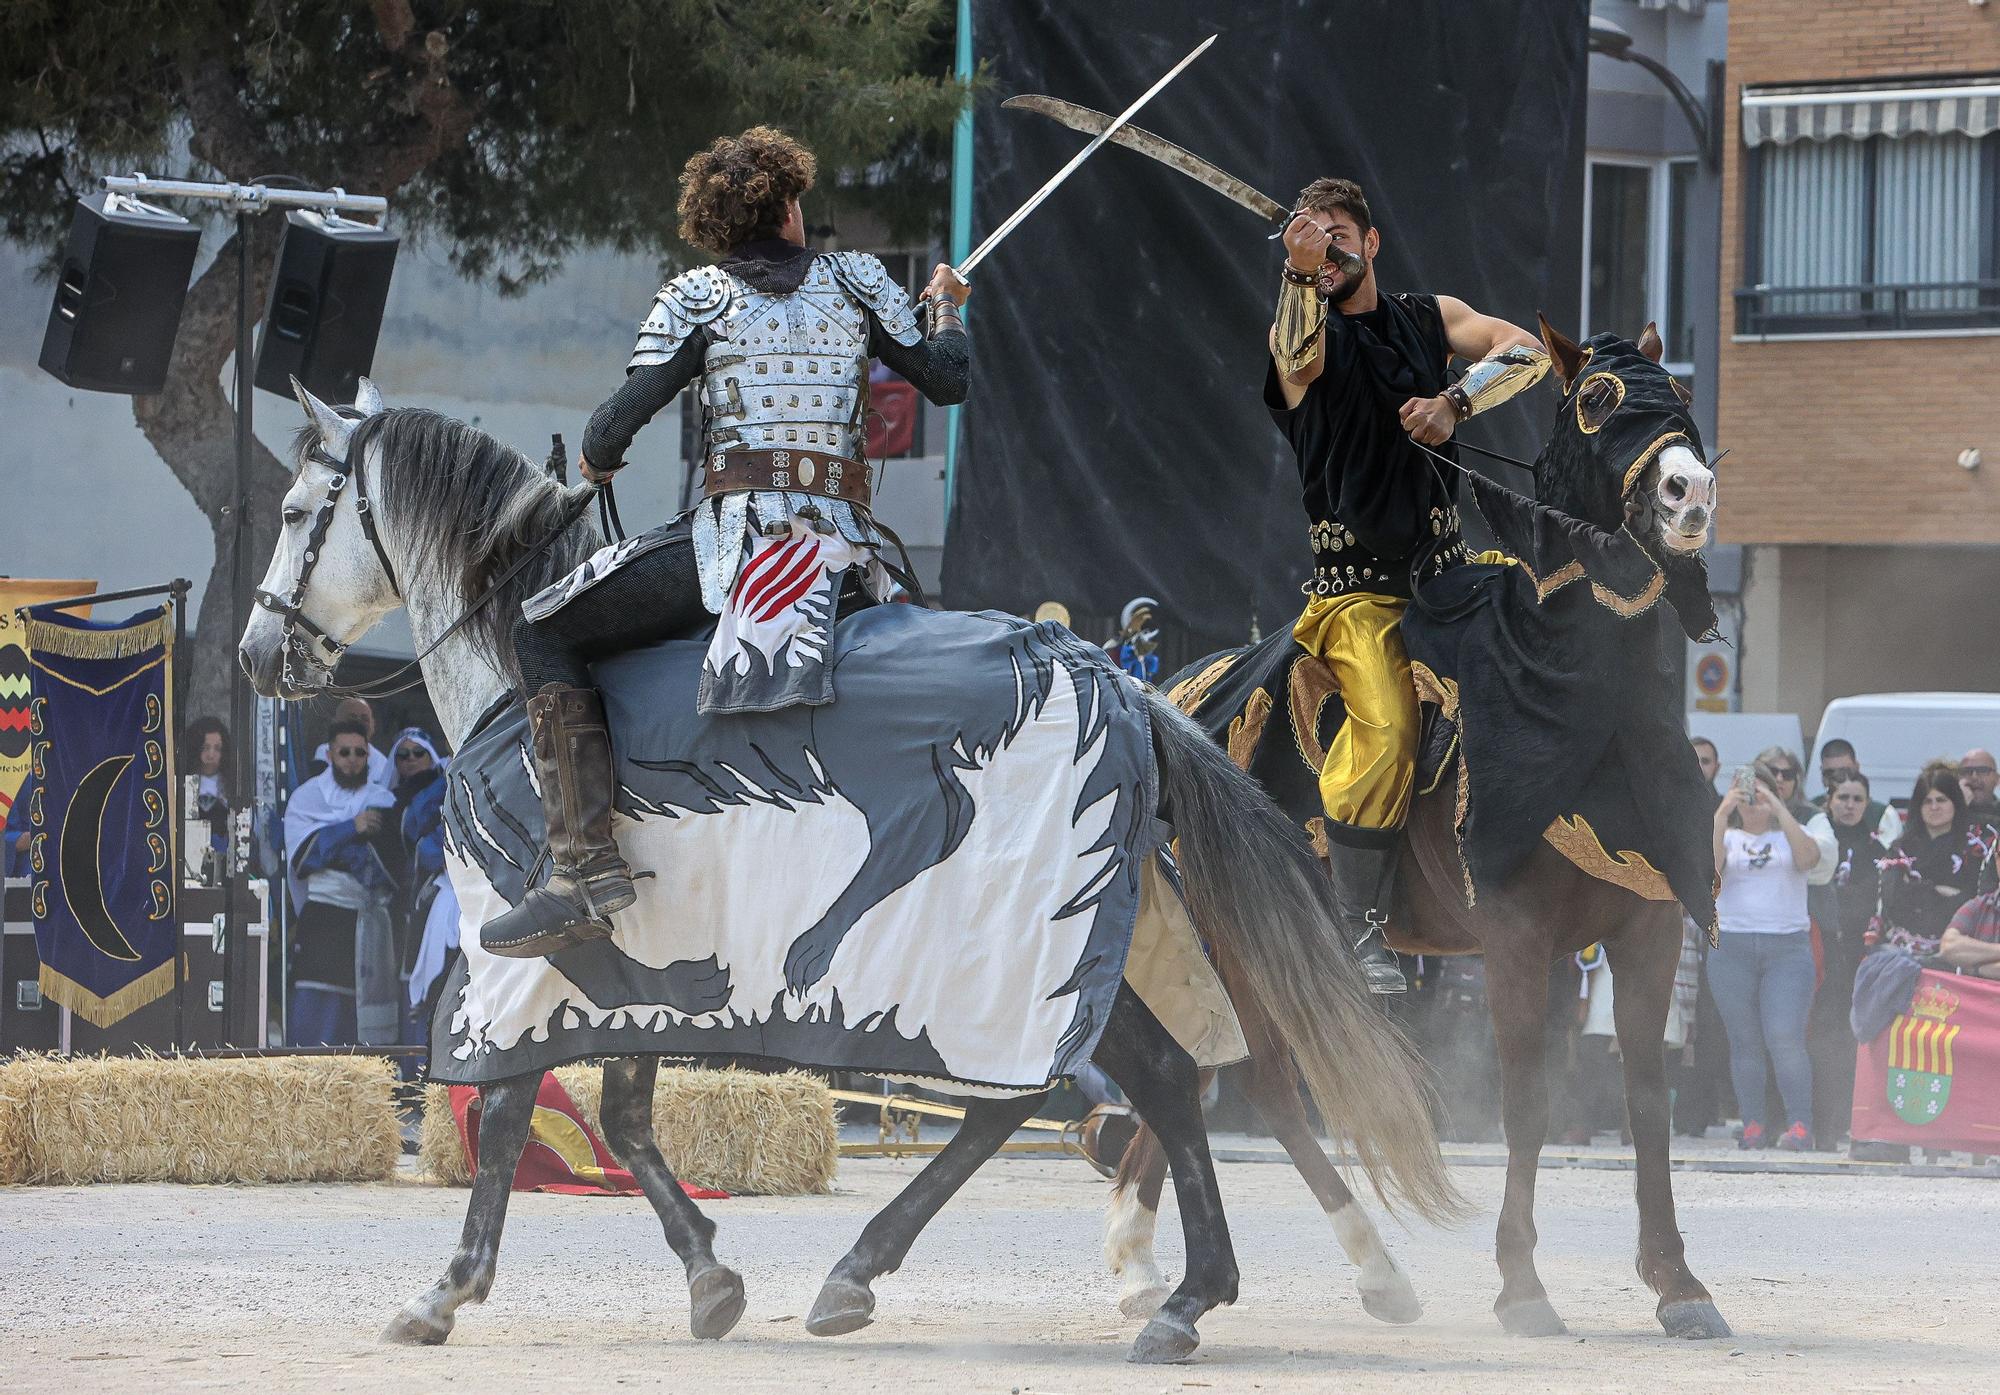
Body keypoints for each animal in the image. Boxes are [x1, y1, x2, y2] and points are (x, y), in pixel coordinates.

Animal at [1096, 319, 1736, 1343]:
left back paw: (1146, 1260)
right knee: (1260, 1086)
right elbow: (1526, 1103)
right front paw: (1522, 1285)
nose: (1689, 492)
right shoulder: (1516, 941)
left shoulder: (1651, 927)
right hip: (1241, 934)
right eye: (1597, 399)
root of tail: (1174, 696)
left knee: (1209, 1076)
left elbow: (1648, 1101)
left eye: (1678, 401)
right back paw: (1351, 1266)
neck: (1584, 716)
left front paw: (1678, 1281)